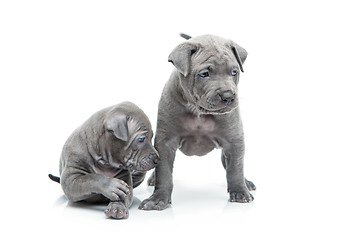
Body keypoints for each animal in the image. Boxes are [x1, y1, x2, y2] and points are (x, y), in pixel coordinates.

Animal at [140, 33, 256, 210]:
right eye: (204, 74)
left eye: (234, 72)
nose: (228, 96)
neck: (199, 112)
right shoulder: (165, 142)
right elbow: (164, 172)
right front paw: (158, 199)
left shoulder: (234, 141)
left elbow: (235, 168)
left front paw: (240, 191)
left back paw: (246, 182)